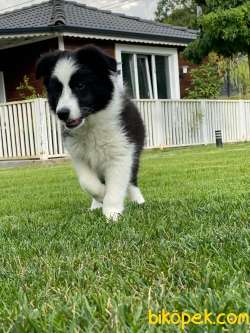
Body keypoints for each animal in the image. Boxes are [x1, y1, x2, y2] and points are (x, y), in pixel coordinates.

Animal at [35, 44, 145, 220]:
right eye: (57, 90)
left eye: (80, 85)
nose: (62, 113)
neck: (90, 125)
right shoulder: (79, 156)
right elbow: (87, 183)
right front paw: (101, 196)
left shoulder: (121, 153)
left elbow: (116, 185)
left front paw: (112, 213)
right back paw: (96, 205)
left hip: (135, 153)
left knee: (132, 180)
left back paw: (138, 201)